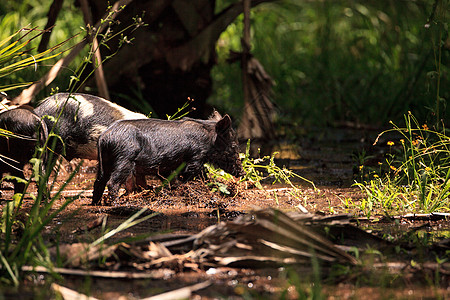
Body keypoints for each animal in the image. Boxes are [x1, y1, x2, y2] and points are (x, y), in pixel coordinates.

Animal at [92, 111, 246, 205]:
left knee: (99, 182)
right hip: (124, 159)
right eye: (233, 146)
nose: (243, 172)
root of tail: (104, 137)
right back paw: (115, 204)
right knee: (112, 182)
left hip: (104, 162)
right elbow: (195, 174)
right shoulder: (195, 157)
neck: (208, 140)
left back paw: (96, 203)